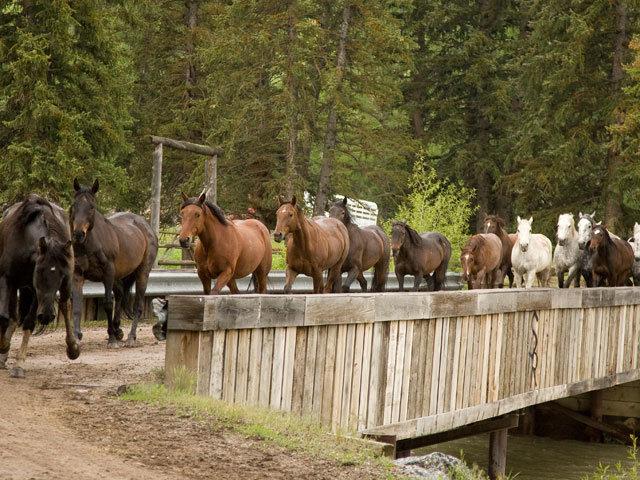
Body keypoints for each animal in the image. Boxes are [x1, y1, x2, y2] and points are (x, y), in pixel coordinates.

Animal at [0, 195, 80, 377]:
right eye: (40, 273)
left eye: (62, 275)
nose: (47, 316)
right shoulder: (7, 279)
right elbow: (5, 317)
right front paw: (4, 348)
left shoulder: (36, 290)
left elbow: (29, 322)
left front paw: (18, 364)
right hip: (18, 287)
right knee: (13, 317)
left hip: (60, 289)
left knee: (65, 305)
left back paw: (72, 348)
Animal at [70, 179, 158, 348]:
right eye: (74, 204)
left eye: (91, 207)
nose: (78, 234)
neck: (91, 244)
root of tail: (146, 226)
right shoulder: (78, 275)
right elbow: (76, 305)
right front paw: (76, 337)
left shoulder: (108, 274)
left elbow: (107, 304)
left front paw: (111, 339)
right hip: (121, 276)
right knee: (120, 295)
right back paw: (118, 330)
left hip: (142, 273)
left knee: (137, 306)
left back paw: (130, 337)